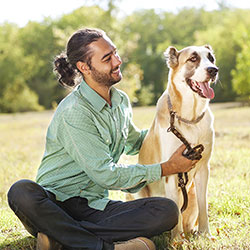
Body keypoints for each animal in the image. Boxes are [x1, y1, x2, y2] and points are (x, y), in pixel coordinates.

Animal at [128, 44, 218, 238]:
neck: (190, 118)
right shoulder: (172, 172)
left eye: (211, 58)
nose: (213, 70)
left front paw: (205, 234)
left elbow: (203, 206)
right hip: (137, 187)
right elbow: (175, 207)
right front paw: (177, 240)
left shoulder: (203, 169)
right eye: (193, 58)